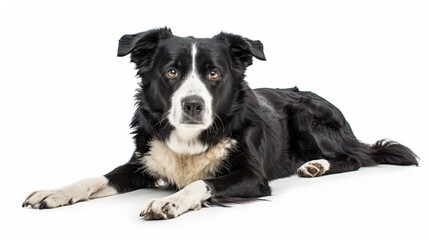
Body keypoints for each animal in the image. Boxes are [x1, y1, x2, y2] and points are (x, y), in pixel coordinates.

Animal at [20, 27, 418, 219]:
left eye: (214, 73)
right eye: (172, 71)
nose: (193, 105)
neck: (191, 138)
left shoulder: (254, 177)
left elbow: (203, 182)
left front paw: (171, 202)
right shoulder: (143, 162)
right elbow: (95, 178)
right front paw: (55, 192)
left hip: (308, 117)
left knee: (355, 158)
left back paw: (316, 165)